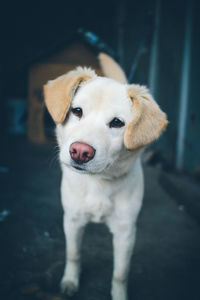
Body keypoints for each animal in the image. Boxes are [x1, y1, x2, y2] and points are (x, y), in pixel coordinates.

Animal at [43, 54, 167, 300]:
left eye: (117, 123)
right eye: (77, 111)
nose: (80, 152)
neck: (98, 182)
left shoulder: (126, 233)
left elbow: (120, 274)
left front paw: (119, 295)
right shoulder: (72, 220)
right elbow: (73, 254)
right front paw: (70, 281)